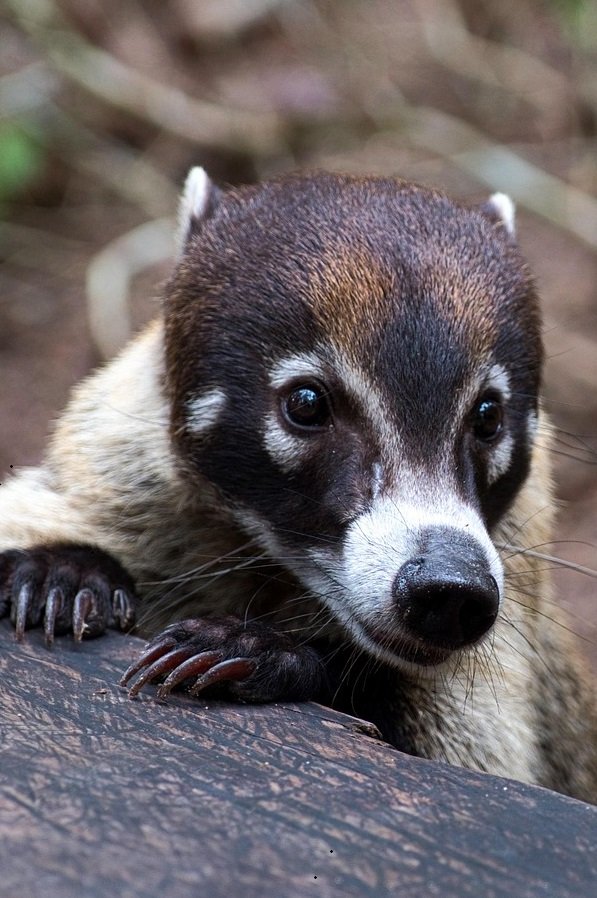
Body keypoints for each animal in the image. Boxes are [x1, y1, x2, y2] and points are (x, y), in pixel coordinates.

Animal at [1, 170, 595, 802]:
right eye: (306, 403)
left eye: (488, 416)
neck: (272, 569)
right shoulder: (116, 462)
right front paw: (62, 571)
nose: (451, 590)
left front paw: (267, 651)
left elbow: (472, 746)